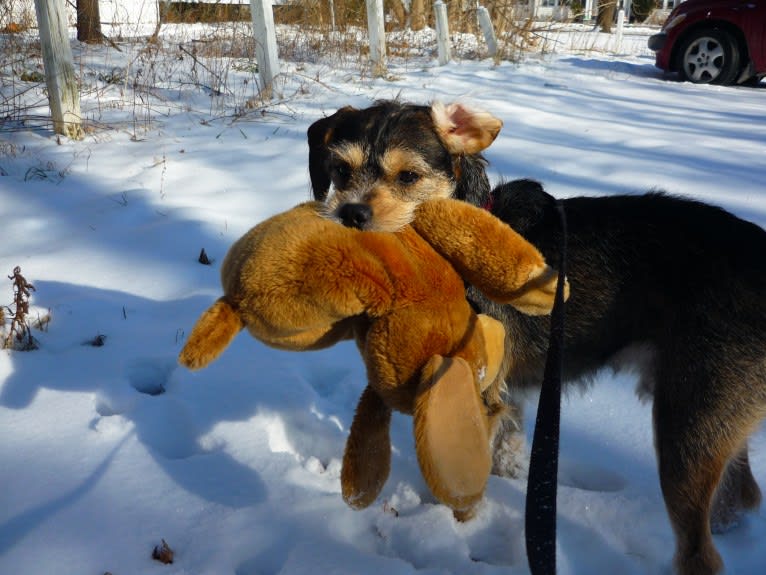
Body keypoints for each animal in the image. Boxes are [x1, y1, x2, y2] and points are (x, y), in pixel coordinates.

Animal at [308, 100, 766, 575]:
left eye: (409, 177)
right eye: (340, 170)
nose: (351, 214)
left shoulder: (474, 394)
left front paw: (456, 528)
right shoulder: (507, 395)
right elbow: (506, 449)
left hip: (686, 431)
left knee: (701, 552)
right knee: (743, 493)